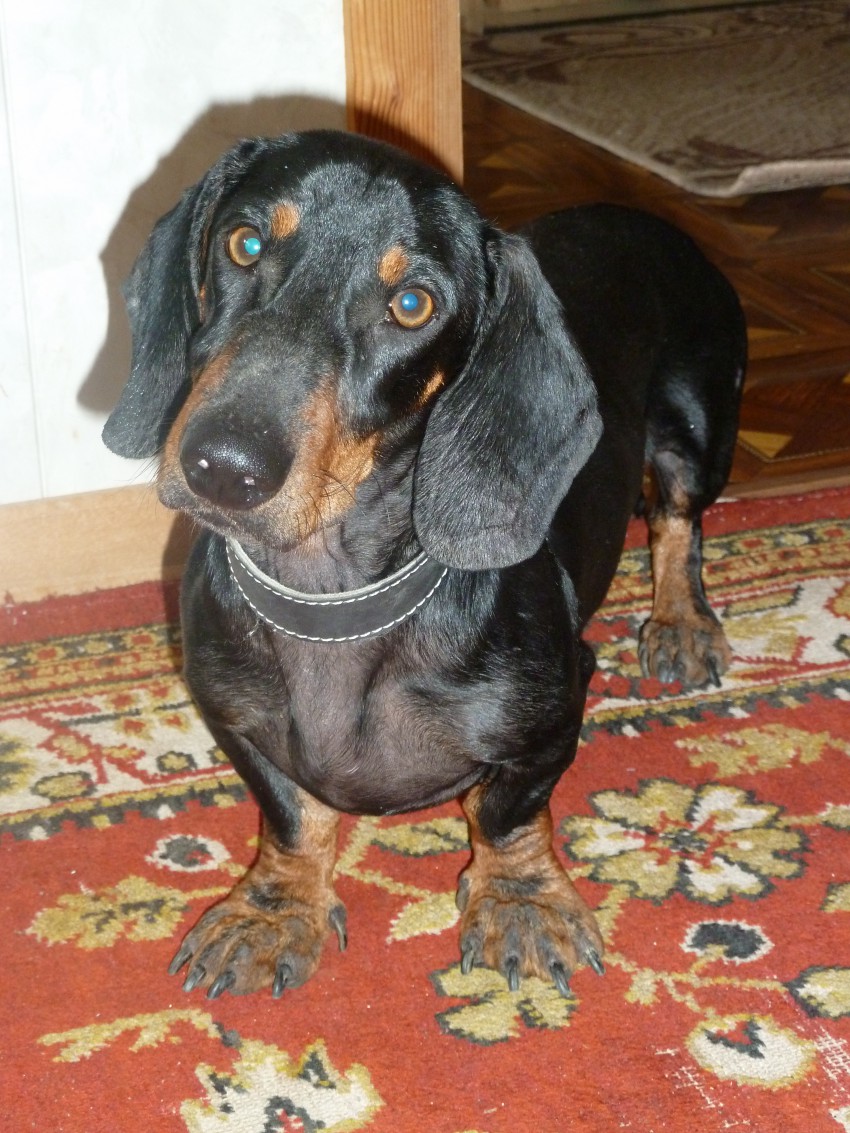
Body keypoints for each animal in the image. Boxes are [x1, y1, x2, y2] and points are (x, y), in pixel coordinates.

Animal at [103, 129, 746, 1000]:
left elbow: (507, 811)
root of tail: (647, 216)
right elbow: (292, 815)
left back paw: (682, 622)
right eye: (244, 244)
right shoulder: (234, 721)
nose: (223, 467)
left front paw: (519, 900)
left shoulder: (553, 715)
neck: (331, 596)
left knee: (679, 519)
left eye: (412, 305)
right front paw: (274, 909)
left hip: (696, 426)